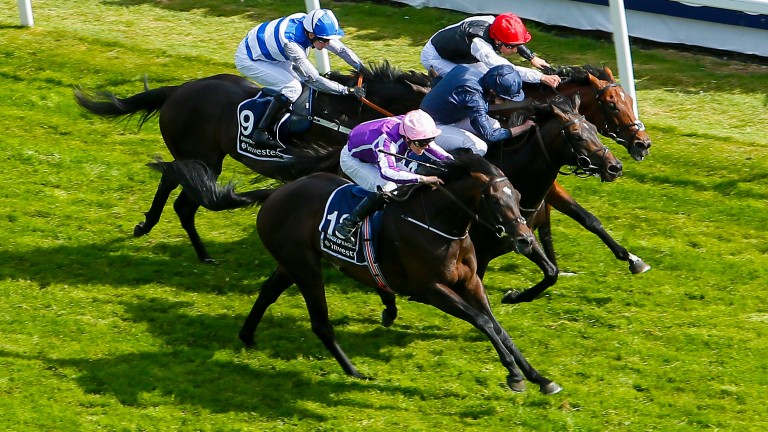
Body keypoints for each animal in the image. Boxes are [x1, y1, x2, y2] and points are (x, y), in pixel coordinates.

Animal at [74, 61, 428, 264]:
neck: (346, 112)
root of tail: (179, 90)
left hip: (194, 156)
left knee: (171, 180)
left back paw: (149, 226)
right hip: (204, 158)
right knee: (183, 201)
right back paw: (202, 254)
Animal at [150, 154, 560, 394]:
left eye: (516, 195)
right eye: (494, 199)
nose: (525, 240)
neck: (440, 224)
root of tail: (276, 194)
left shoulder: (470, 282)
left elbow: (497, 326)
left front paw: (540, 378)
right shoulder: (430, 289)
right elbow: (483, 322)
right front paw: (515, 377)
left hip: (290, 262)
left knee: (267, 292)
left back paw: (248, 336)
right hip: (306, 266)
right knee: (320, 323)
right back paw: (354, 370)